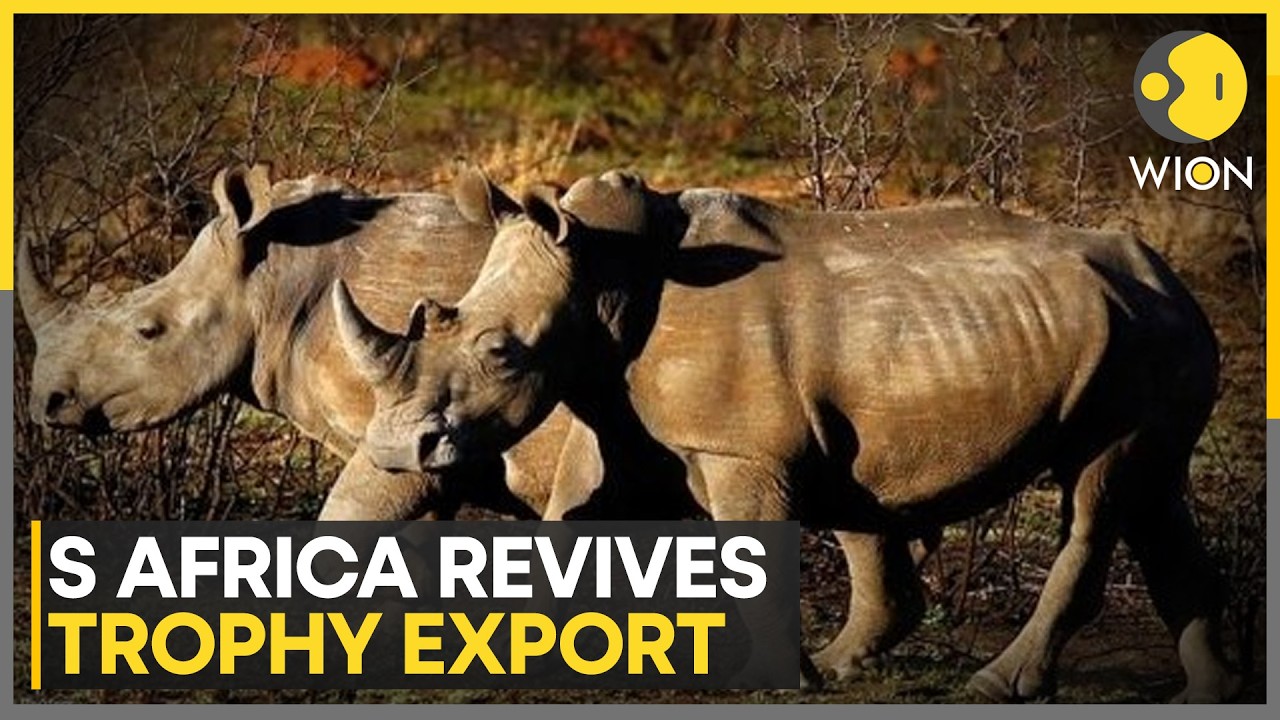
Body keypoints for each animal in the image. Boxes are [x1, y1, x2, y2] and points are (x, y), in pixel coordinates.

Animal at [334, 169, 1240, 702]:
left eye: (500, 352)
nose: (399, 449)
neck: (601, 275)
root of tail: (1175, 281)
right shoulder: (626, 423)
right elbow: (580, 521)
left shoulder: (741, 448)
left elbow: (749, 537)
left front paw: (773, 683)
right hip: (1141, 333)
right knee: (1151, 495)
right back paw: (1207, 694)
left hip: (1140, 346)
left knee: (1098, 488)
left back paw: (994, 685)